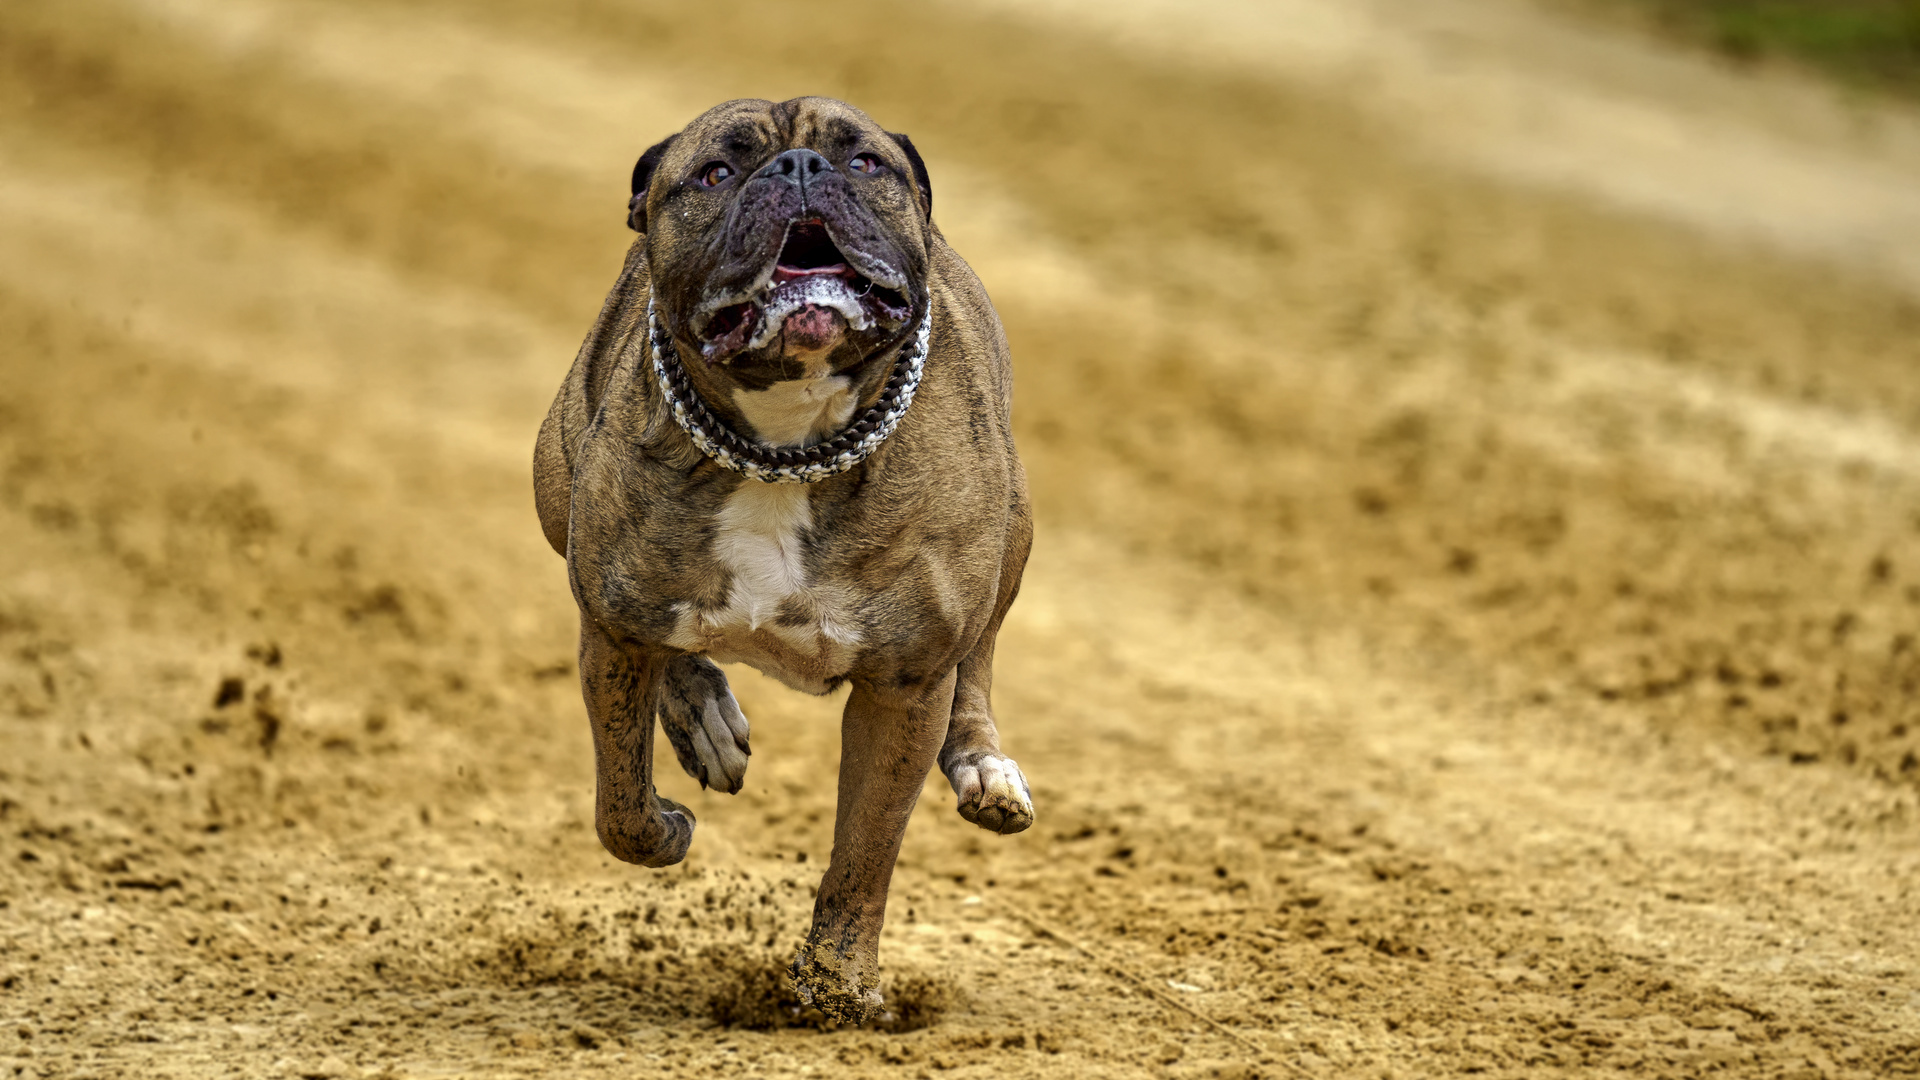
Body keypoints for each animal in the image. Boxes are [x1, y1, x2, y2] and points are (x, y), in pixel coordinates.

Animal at [526, 96, 1036, 1014]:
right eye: (715, 172)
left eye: (866, 163)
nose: (799, 167)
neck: (786, 445)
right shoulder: (613, 628)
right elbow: (620, 804)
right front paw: (666, 823)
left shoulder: (904, 689)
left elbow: (863, 856)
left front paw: (837, 993)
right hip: (559, 490)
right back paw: (704, 718)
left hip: (1014, 529)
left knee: (978, 660)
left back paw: (983, 765)